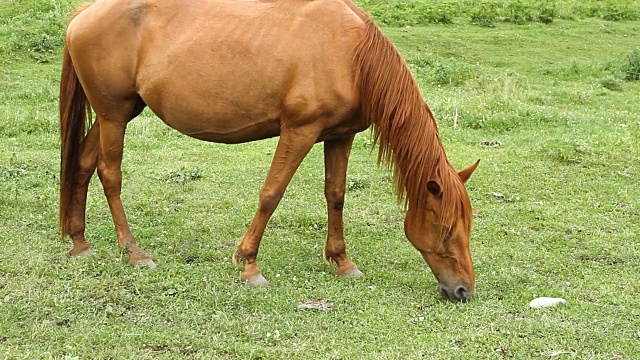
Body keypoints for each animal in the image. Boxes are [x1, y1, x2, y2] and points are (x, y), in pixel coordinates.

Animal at [61, 0, 480, 300]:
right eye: (446, 230)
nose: (463, 290)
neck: (349, 54)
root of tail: (84, 13)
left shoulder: (340, 136)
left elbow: (336, 195)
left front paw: (342, 261)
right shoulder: (299, 132)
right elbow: (271, 194)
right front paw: (249, 265)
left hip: (119, 112)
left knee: (82, 163)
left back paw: (80, 242)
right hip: (114, 115)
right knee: (109, 174)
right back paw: (134, 252)